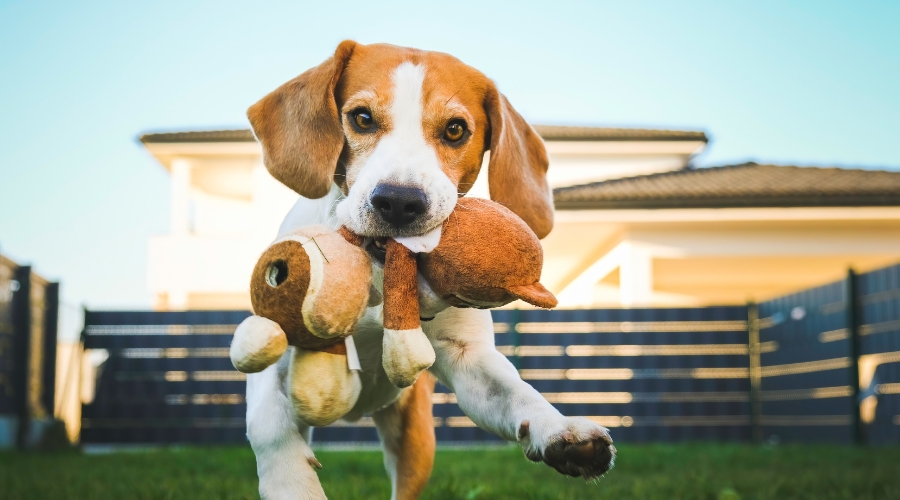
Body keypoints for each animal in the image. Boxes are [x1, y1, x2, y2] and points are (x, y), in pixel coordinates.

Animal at [243, 41, 616, 498]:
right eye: (361, 118)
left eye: (455, 129)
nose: (399, 201)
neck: (381, 272)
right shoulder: (273, 356)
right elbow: (270, 429)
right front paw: (292, 482)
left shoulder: (468, 359)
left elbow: (518, 392)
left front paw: (559, 430)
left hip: (415, 442)